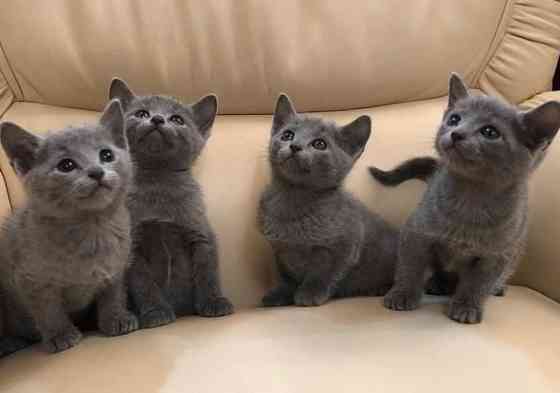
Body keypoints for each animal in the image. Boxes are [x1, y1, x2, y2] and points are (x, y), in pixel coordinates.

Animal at [0, 99, 138, 356]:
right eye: (66, 165)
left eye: (106, 154)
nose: (96, 171)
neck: (92, 227)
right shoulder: (32, 280)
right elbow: (49, 310)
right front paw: (60, 336)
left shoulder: (116, 267)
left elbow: (113, 294)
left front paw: (116, 319)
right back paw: (9, 343)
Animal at [110, 77, 233, 328]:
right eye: (141, 113)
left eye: (177, 119)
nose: (157, 119)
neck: (159, 181)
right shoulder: (133, 246)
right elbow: (143, 282)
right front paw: (156, 312)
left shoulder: (200, 233)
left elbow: (207, 271)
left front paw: (214, 302)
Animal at [258, 94, 398, 306]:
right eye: (287, 135)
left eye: (319, 144)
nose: (295, 146)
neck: (294, 199)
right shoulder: (280, 252)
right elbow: (287, 277)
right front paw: (280, 294)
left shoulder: (345, 245)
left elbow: (323, 272)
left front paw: (309, 294)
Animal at [372, 72, 560, 322]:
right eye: (454, 119)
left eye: (490, 132)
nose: (456, 133)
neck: (471, 197)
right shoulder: (416, 232)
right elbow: (410, 266)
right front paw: (401, 295)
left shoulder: (496, 255)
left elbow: (477, 284)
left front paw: (466, 308)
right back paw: (437, 284)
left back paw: (495, 288)